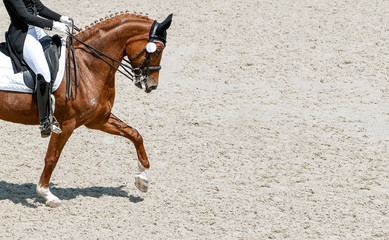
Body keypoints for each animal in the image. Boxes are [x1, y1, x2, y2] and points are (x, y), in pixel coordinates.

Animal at [0, 13, 171, 207]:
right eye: (157, 50)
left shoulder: (98, 120)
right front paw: (46, 194)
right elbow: (52, 157)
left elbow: (134, 134)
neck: (87, 65)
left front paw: (142, 178)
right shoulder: (66, 124)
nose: (152, 85)